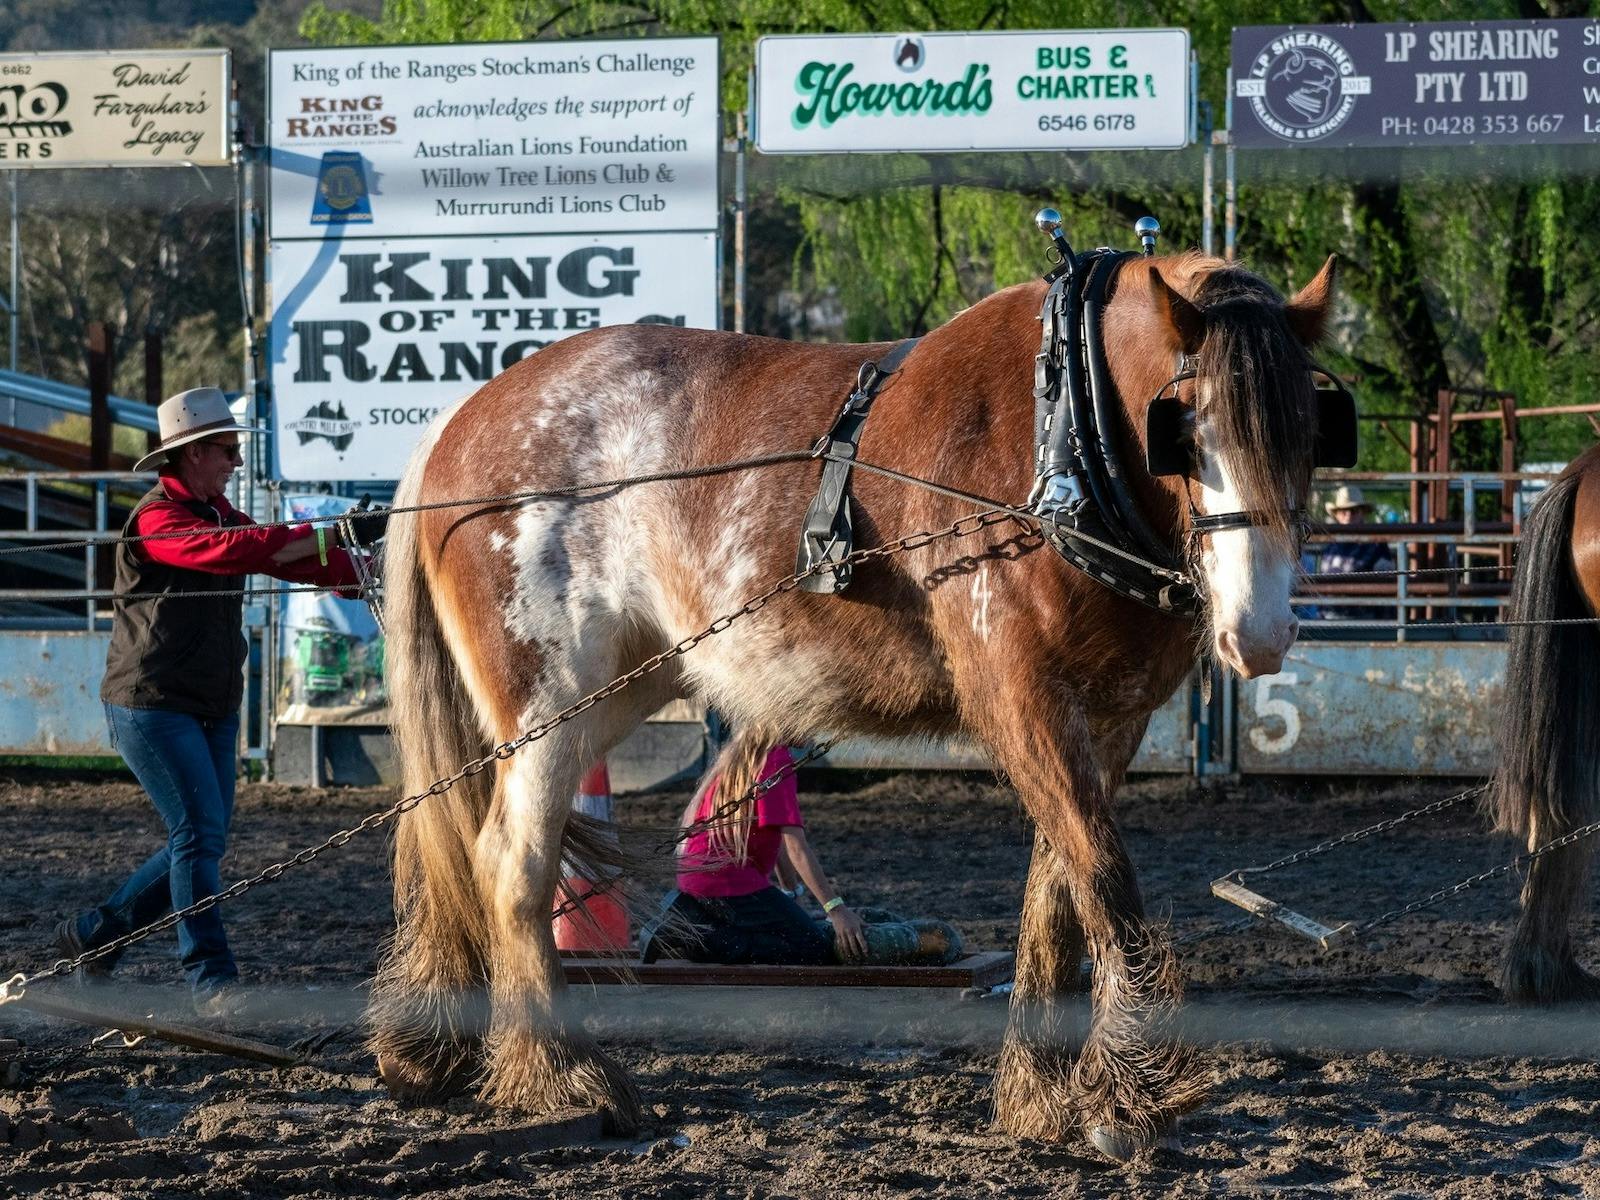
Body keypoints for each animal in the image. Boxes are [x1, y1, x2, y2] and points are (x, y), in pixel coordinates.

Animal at [368, 247, 1337, 1160]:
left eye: (1311, 432)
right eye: (1185, 430)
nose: (1261, 631)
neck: (1064, 431)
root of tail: (461, 419)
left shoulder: (1109, 719)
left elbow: (1058, 888)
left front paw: (1042, 1095)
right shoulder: (1019, 694)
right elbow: (1101, 873)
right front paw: (1133, 1093)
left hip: (621, 685)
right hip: (548, 701)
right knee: (514, 866)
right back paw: (563, 1074)